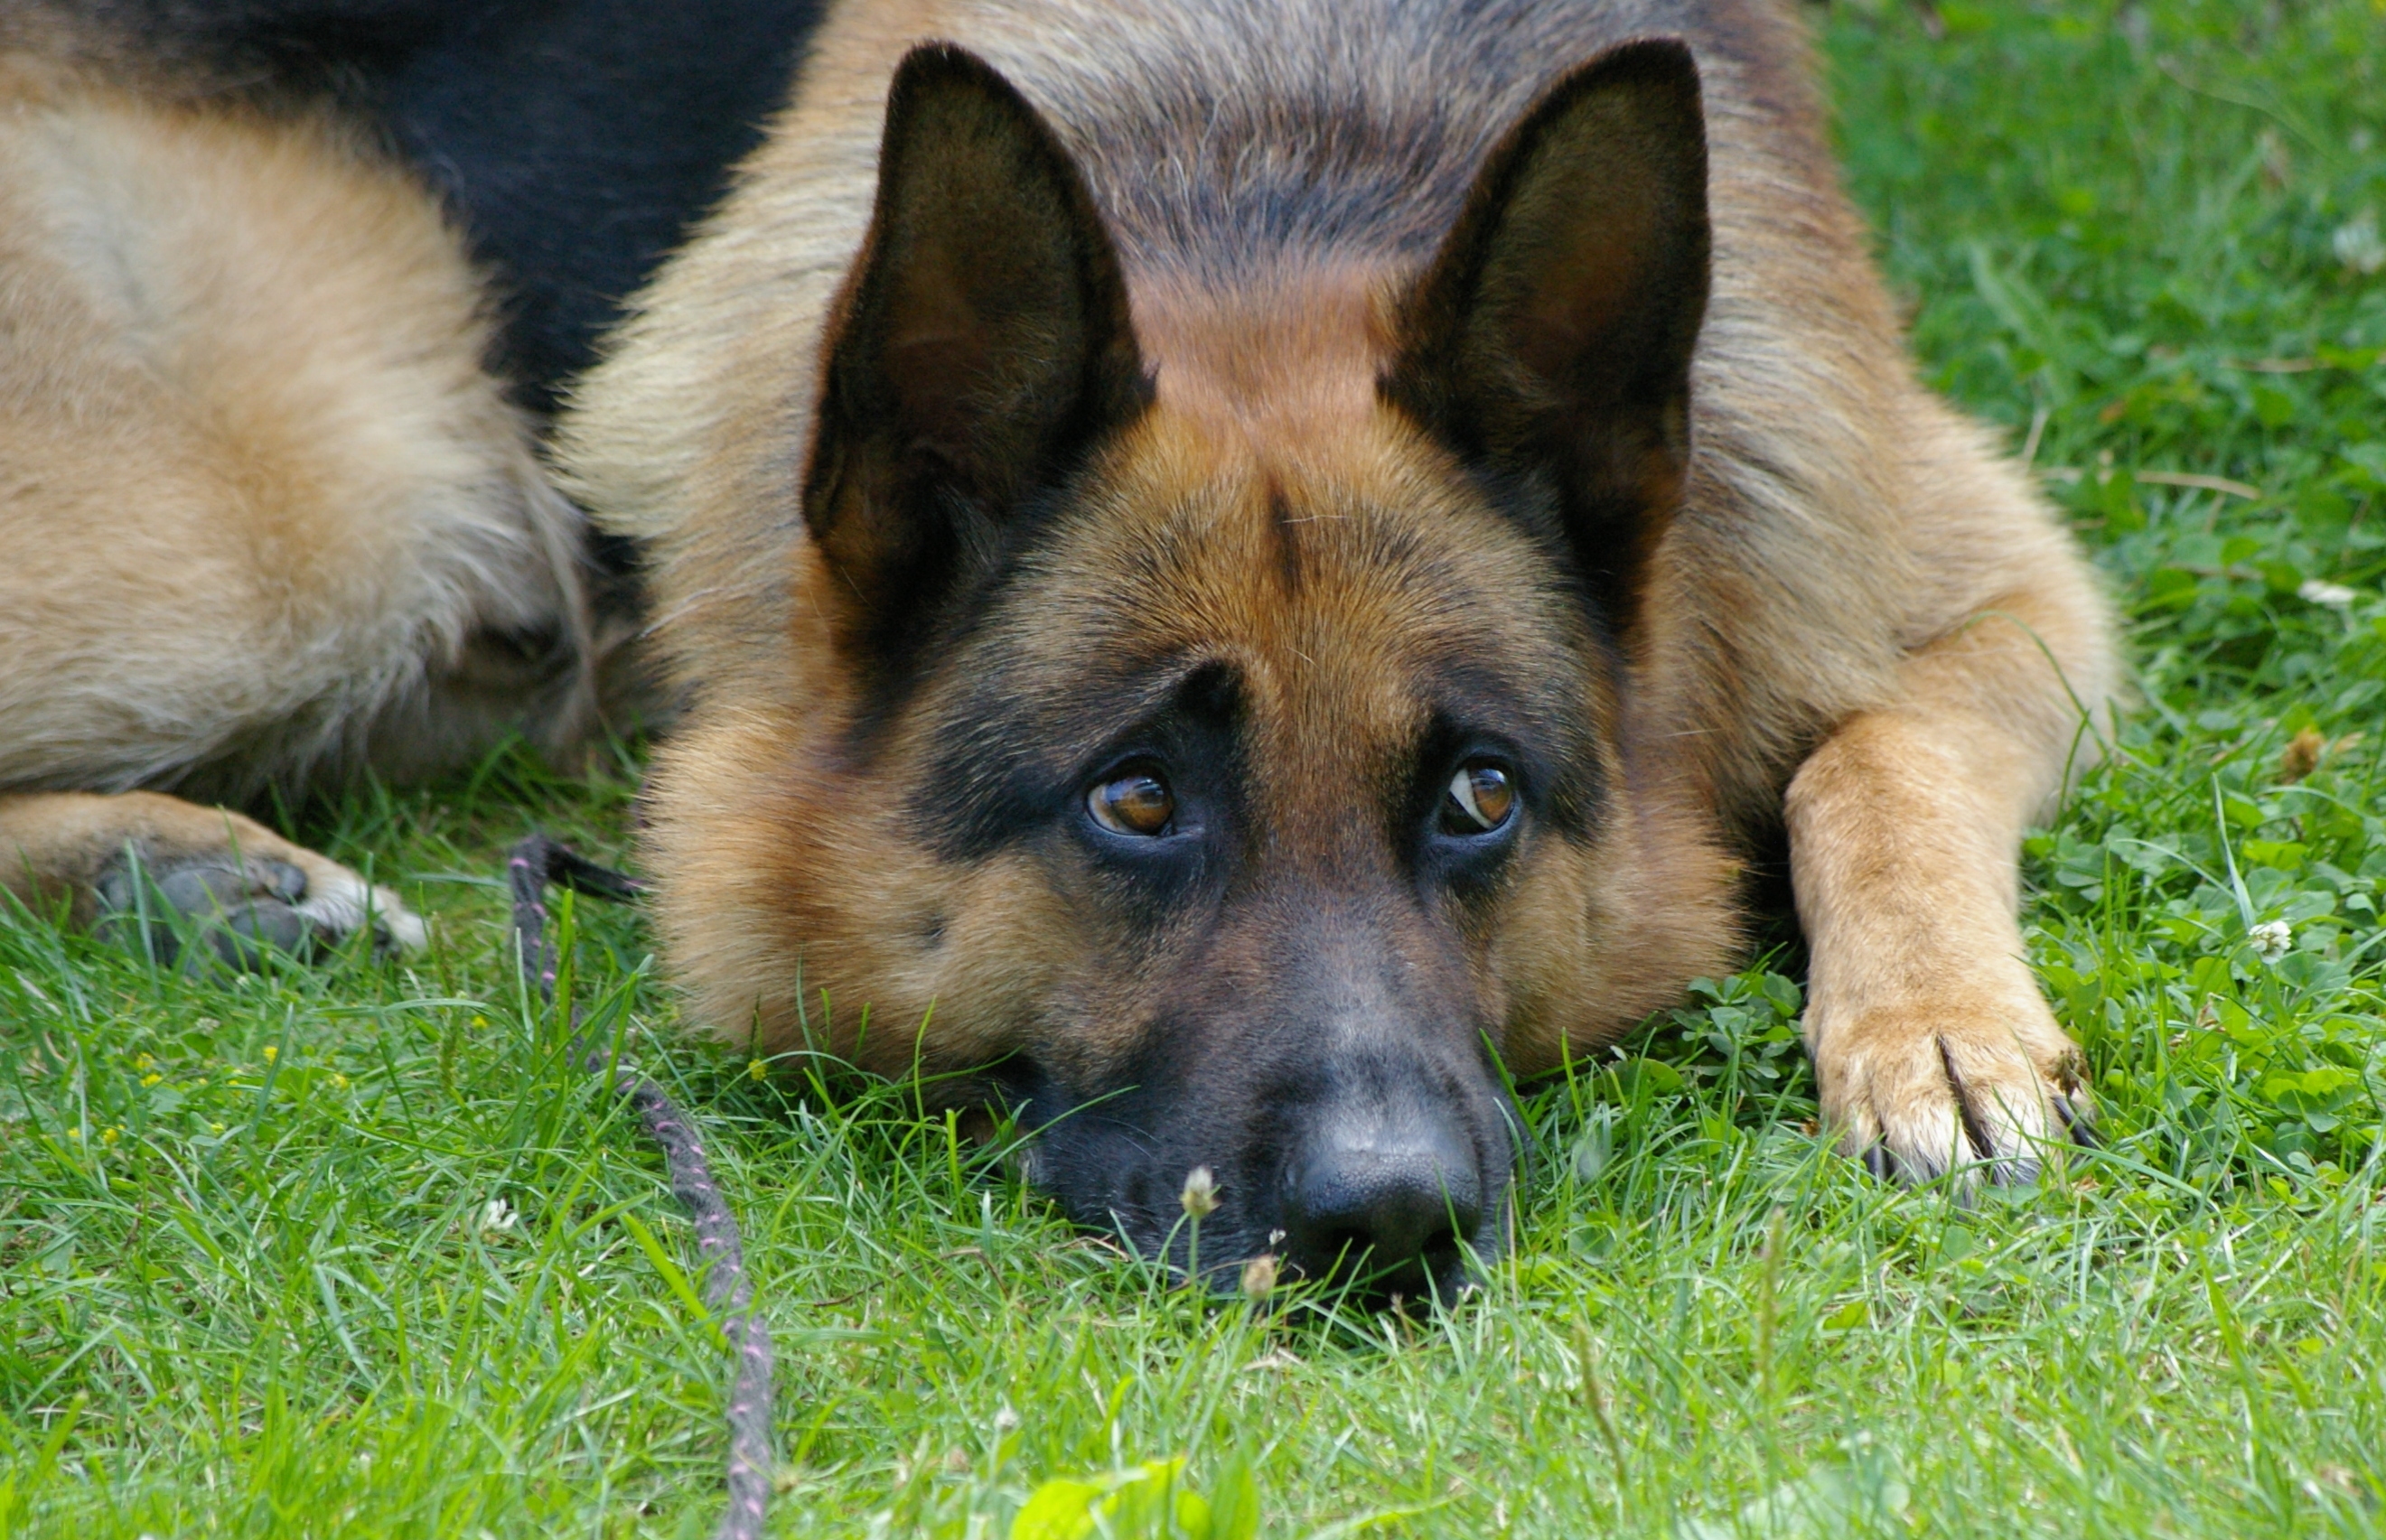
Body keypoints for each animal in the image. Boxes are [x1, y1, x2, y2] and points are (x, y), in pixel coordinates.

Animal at [9, 0, 2119, 1306]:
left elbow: (1873, 757)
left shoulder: (2002, 579)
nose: (1392, 1220)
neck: (1277, 162)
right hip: (313, 519)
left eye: (1478, 798)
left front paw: (1936, 1032)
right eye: (1136, 802)